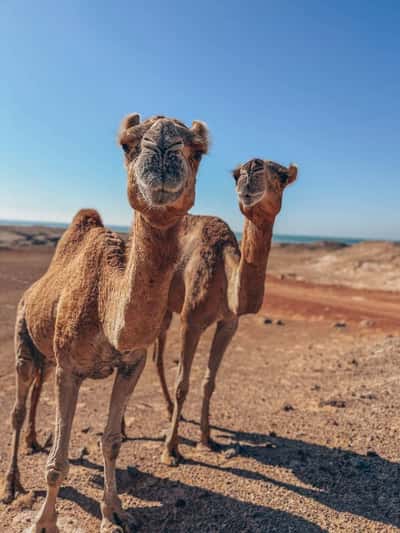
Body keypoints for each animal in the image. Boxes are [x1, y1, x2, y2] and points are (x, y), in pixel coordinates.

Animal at [2, 113, 209, 532]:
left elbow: (112, 441)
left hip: (46, 353)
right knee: (17, 406)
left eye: (198, 150)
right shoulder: (70, 369)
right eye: (127, 144)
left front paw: (114, 511)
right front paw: (43, 522)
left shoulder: (132, 364)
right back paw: (12, 485)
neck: (106, 309)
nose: (163, 145)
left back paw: (33, 441)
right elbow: (58, 462)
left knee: (36, 391)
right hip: (23, 339)